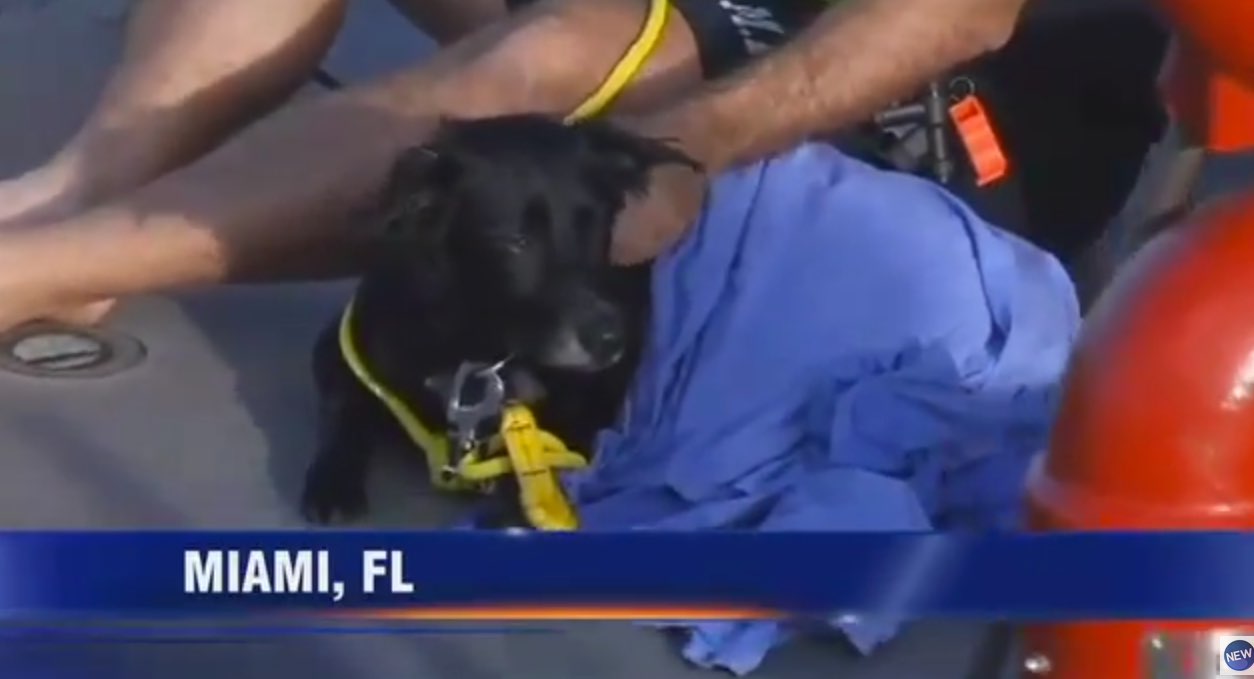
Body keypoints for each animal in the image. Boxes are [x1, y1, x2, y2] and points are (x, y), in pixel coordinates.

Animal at [299, 113, 702, 524]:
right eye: (515, 241)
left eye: (596, 226)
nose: (610, 341)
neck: (479, 342)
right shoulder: (341, 347)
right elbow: (343, 407)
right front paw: (334, 479)